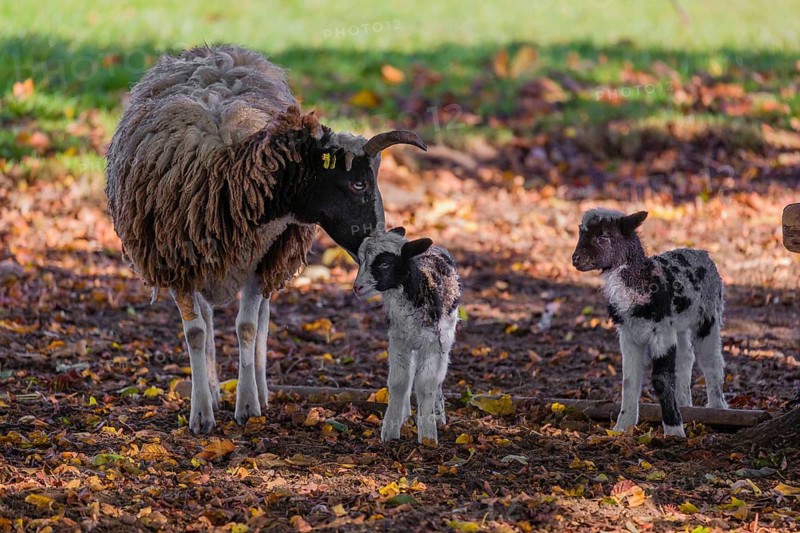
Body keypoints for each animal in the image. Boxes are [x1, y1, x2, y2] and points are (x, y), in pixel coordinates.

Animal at [105, 45, 427, 434]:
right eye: (359, 183)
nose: (379, 242)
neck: (230, 175)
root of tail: (215, 49)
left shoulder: (264, 257)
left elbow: (246, 328)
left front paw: (247, 406)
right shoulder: (175, 260)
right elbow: (196, 332)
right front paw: (201, 414)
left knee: (261, 321)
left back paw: (259, 389)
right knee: (209, 319)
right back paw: (212, 389)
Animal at [353, 227, 461, 444]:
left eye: (385, 264)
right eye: (360, 260)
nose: (357, 288)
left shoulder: (432, 343)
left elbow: (426, 384)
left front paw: (428, 435)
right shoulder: (398, 341)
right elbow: (398, 382)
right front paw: (390, 430)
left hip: (446, 338)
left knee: (439, 376)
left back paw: (438, 414)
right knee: (410, 373)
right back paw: (405, 413)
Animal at [571, 209, 728, 437]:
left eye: (603, 236)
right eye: (580, 233)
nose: (575, 259)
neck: (641, 282)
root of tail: (702, 253)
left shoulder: (661, 332)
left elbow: (660, 379)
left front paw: (674, 430)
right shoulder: (628, 334)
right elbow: (630, 380)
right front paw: (622, 426)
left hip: (709, 314)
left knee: (711, 360)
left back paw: (717, 408)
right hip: (680, 324)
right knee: (685, 358)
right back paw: (685, 404)